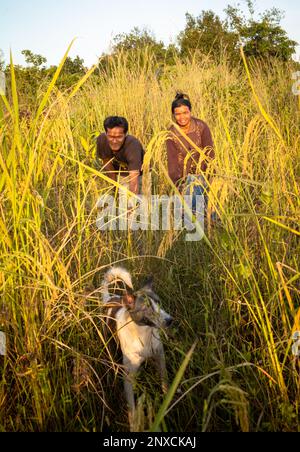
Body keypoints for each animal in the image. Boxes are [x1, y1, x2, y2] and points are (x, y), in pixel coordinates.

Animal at [102, 266, 173, 430]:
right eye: (147, 307)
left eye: (159, 303)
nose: (170, 320)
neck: (143, 333)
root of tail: (110, 298)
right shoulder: (128, 376)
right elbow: (132, 409)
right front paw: (134, 425)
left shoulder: (159, 357)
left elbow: (164, 381)